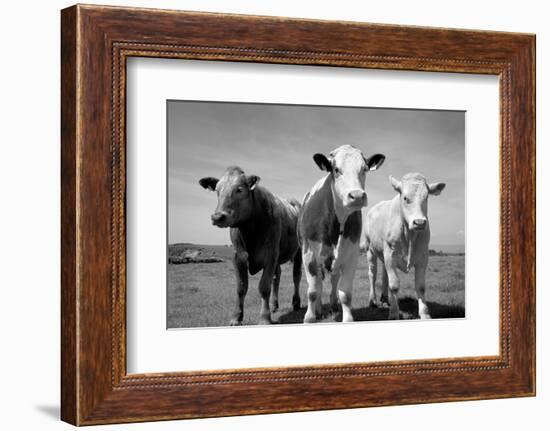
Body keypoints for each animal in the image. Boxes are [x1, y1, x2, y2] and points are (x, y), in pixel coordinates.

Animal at [199, 167, 304, 326]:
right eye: (217, 190)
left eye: (239, 190)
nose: (217, 217)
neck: (249, 231)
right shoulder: (238, 257)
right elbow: (241, 287)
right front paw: (236, 317)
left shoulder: (270, 255)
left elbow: (264, 287)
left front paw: (264, 318)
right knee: (277, 276)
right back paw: (274, 305)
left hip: (298, 251)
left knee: (296, 276)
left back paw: (296, 303)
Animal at [300, 146, 386, 324]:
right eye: (336, 169)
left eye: (364, 169)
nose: (357, 196)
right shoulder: (308, 254)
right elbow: (312, 291)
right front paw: (310, 317)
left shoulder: (351, 255)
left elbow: (345, 294)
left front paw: (346, 317)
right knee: (318, 285)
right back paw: (319, 309)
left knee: (333, 281)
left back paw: (332, 305)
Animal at [362, 173, 448, 320]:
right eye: (405, 198)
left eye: (426, 197)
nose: (419, 222)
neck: (409, 236)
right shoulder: (390, 254)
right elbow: (394, 285)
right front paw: (394, 314)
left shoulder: (423, 256)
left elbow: (420, 286)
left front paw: (425, 313)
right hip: (370, 250)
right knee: (372, 275)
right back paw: (372, 301)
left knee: (384, 276)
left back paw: (385, 299)